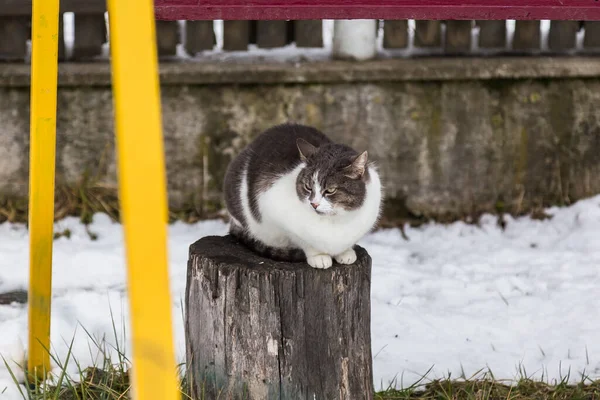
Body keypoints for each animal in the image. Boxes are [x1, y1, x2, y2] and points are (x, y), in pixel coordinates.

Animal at [223, 123, 382, 270]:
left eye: (330, 190)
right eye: (308, 187)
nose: (314, 204)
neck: (334, 221)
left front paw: (345, 252)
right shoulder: (272, 209)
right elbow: (303, 241)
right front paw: (318, 256)